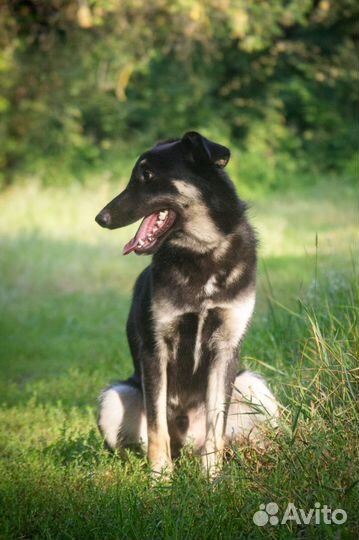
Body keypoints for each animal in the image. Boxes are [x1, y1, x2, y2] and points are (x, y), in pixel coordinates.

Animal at [96, 133, 282, 474]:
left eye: (147, 175)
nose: (100, 218)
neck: (202, 250)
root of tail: (187, 447)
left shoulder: (225, 348)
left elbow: (215, 428)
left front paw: (212, 479)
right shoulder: (155, 350)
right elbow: (158, 429)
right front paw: (160, 479)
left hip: (253, 386)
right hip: (115, 396)